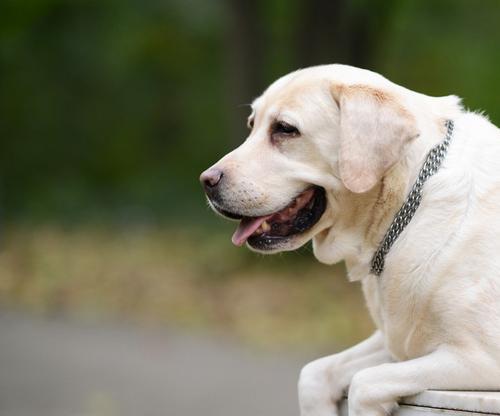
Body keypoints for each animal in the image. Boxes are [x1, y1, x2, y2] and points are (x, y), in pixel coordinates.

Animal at [199, 63, 500, 414]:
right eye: (252, 125)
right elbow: (314, 372)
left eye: (285, 129)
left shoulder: (479, 358)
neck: (408, 204)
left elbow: (365, 381)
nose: (206, 181)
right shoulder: (395, 343)